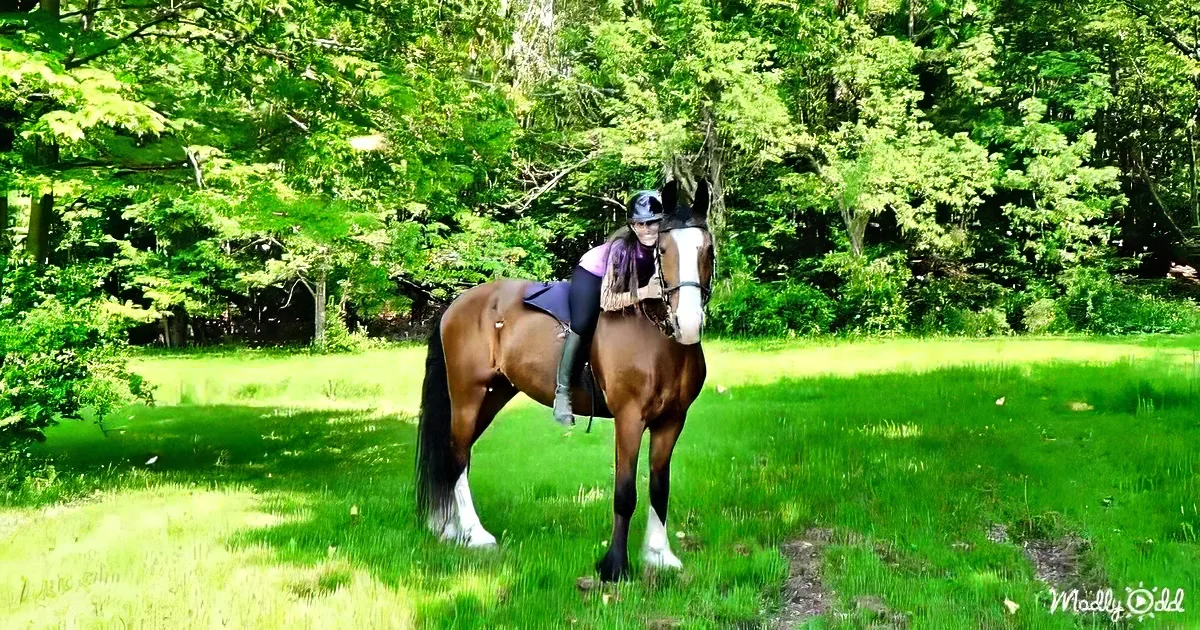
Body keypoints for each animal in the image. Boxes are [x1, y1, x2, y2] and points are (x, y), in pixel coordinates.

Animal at [415, 179, 715, 581]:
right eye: (663, 249)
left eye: (707, 248)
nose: (689, 322)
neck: (656, 336)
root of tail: (457, 304)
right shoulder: (629, 418)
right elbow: (625, 492)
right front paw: (614, 566)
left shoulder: (671, 420)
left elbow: (659, 486)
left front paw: (659, 555)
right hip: (467, 395)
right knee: (457, 455)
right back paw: (475, 534)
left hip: (493, 395)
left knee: (456, 456)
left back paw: (450, 529)